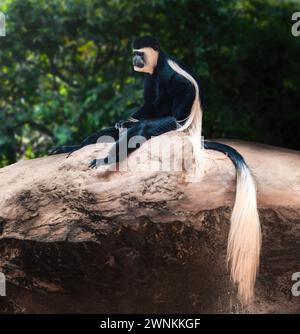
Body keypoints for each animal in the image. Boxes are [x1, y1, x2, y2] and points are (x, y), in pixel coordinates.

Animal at [51, 36, 260, 306]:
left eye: (139, 53)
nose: (134, 60)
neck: (158, 64)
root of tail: (193, 135)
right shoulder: (149, 79)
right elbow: (145, 105)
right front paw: (120, 121)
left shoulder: (169, 73)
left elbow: (178, 94)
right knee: (113, 130)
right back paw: (74, 147)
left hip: (172, 125)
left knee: (147, 126)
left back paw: (107, 159)